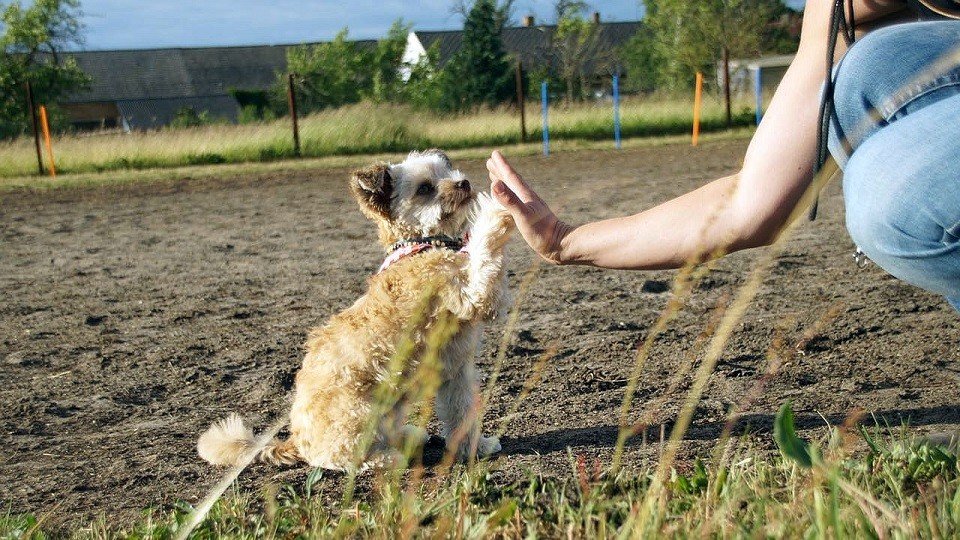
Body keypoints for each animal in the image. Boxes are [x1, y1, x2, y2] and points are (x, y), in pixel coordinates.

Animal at [198, 150, 512, 470]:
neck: (422, 244)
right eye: (424, 188)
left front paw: (475, 448)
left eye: (446, 171)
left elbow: (462, 414)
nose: (464, 183)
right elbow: (482, 255)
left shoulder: (456, 372)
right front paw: (493, 207)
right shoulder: (470, 294)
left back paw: (409, 436)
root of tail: (295, 441)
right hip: (359, 413)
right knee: (347, 457)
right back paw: (388, 457)